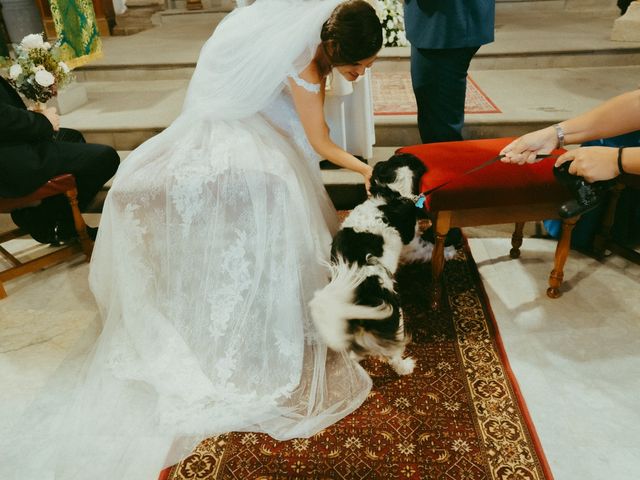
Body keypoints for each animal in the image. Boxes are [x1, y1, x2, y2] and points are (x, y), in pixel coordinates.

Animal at [310, 154, 460, 376]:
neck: (392, 194)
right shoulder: (411, 244)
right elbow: (429, 248)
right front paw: (449, 251)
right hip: (394, 315)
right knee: (392, 353)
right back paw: (405, 366)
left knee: (356, 354)